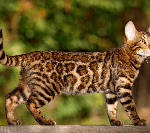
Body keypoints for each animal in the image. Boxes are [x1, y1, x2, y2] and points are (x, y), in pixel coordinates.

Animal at [0, 21, 149, 125]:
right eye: (143, 41)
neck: (132, 57)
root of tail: (32, 54)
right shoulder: (123, 86)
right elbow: (130, 107)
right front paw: (138, 121)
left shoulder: (111, 90)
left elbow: (111, 107)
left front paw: (114, 121)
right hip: (47, 88)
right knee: (31, 102)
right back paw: (45, 122)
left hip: (27, 86)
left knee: (10, 97)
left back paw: (12, 121)